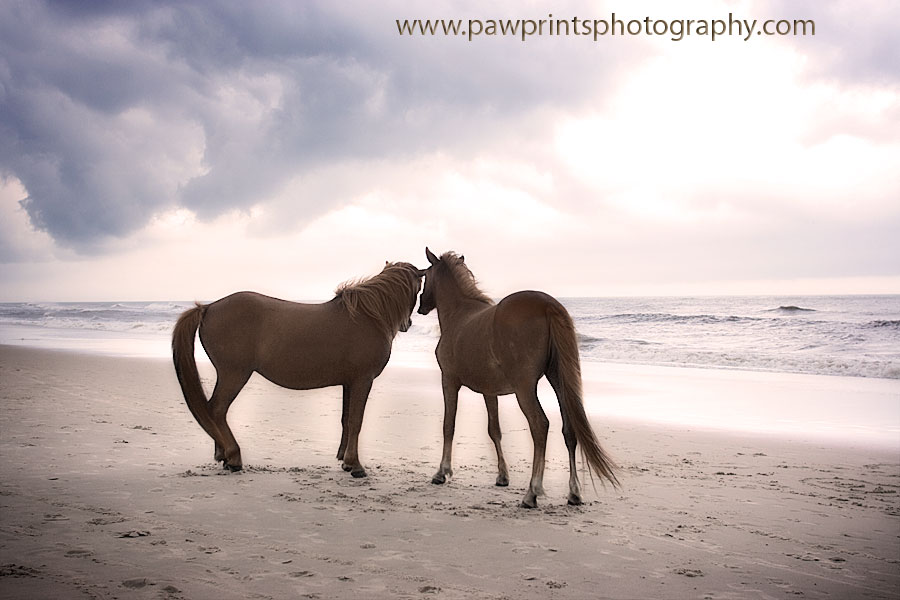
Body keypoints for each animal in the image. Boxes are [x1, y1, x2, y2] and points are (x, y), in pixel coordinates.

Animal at [172, 261, 424, 477]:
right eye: (418, 288)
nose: (408, 325)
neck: (367, 316)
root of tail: (208, 308)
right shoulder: (363, 380)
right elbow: (356, 421)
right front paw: (355, 465)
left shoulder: (349, 382)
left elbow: (346, 419)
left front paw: (345, 461)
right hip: (234, 374)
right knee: (216, 410)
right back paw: (233, 456)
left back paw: (223, 454)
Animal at [417, 248, 619, 507]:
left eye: (425, 275)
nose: (421, 306)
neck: (459, 315)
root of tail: (548, 305)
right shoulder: (489, 391)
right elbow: (494, 430)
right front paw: (502, 476)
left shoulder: (449, 381)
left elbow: (448, 425)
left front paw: (441, 472)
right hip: (559, 382)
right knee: (568, 430)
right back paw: (574, 492)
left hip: (525, 388)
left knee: (540, 425)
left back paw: (531, 493)